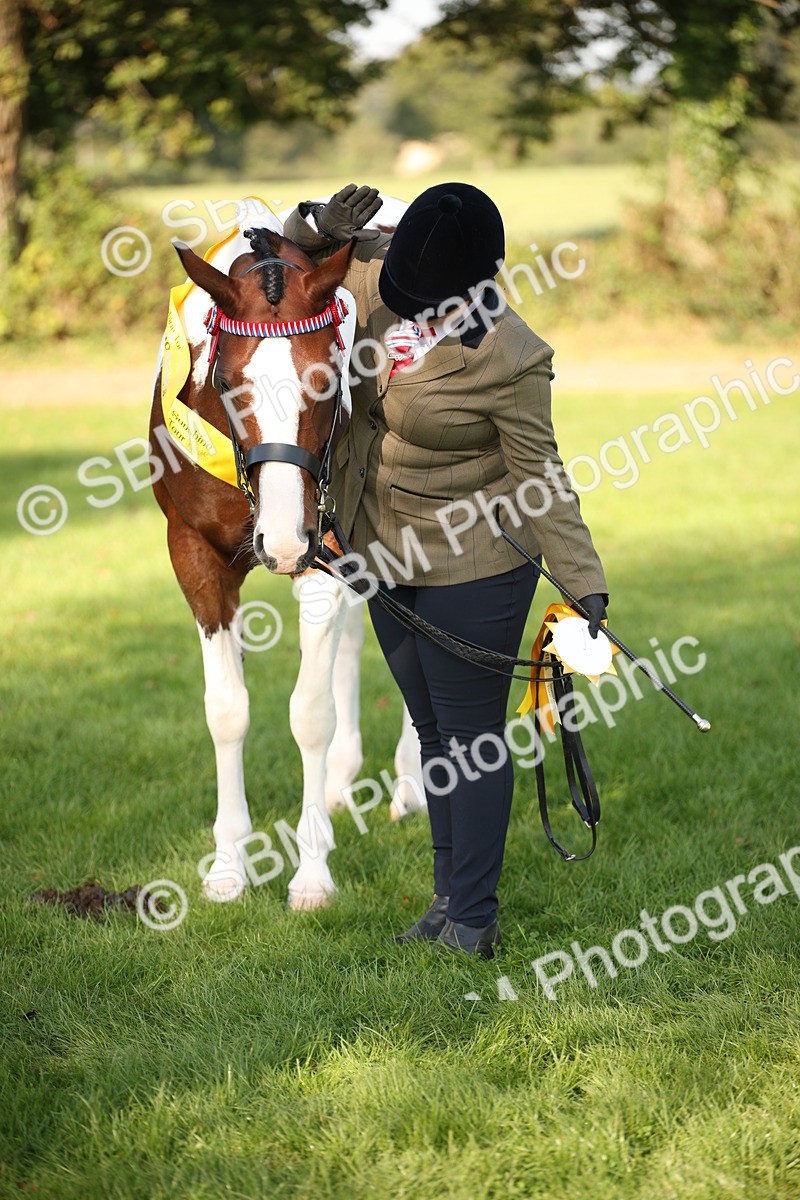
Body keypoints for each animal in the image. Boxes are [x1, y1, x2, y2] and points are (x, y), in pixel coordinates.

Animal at [149, 201, 423, 910]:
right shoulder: (193, 553)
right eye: (228, 381)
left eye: (325, 383)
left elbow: (309, 714)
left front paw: (312, 872)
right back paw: (344, 780)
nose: (280, 540)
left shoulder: (324, 552)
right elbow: (227, 711)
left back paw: (413, 781)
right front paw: (227, 865)